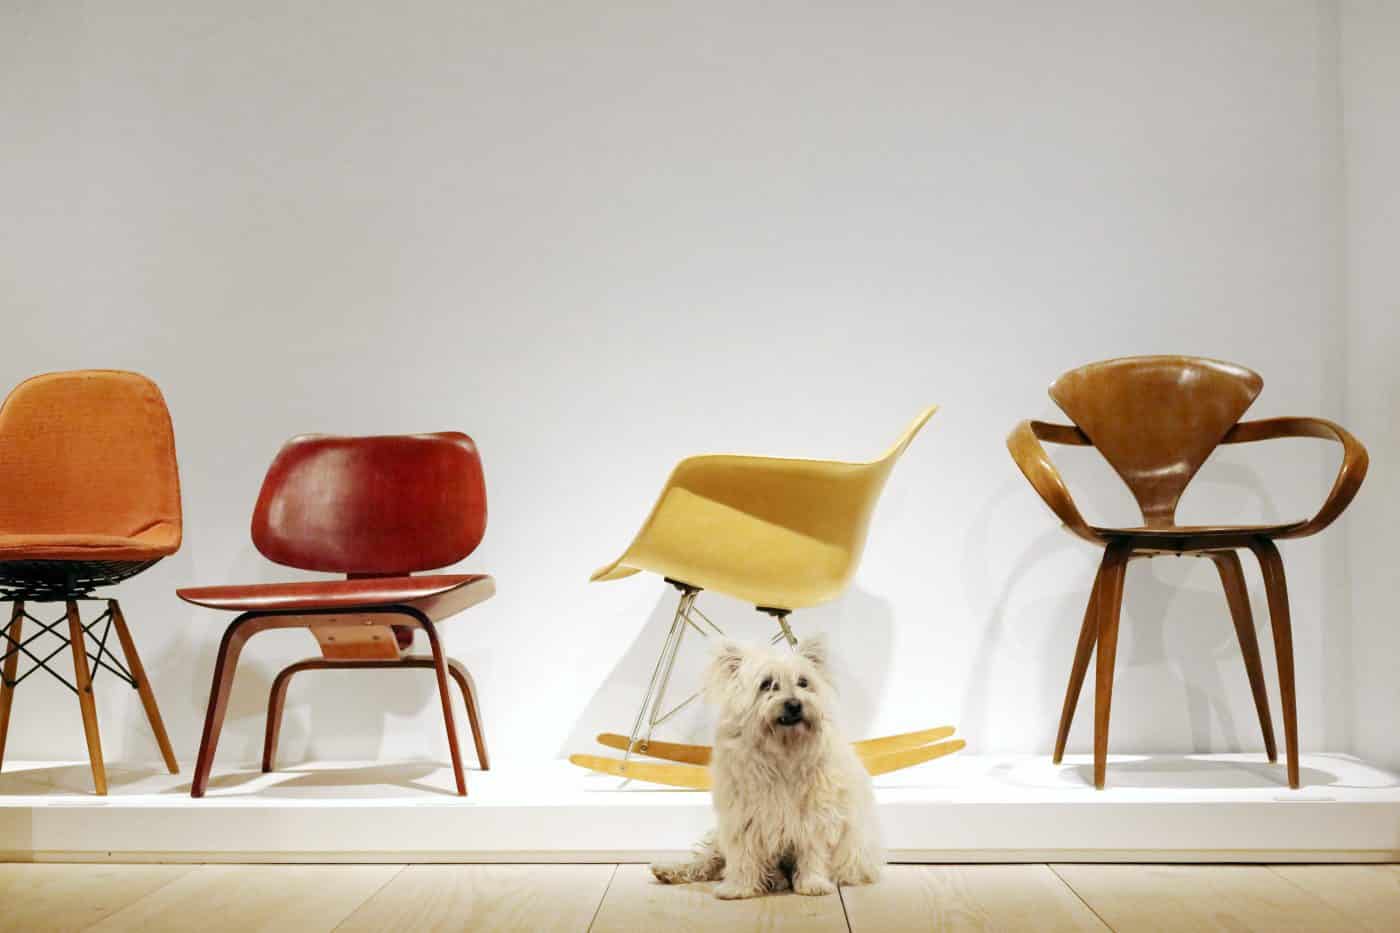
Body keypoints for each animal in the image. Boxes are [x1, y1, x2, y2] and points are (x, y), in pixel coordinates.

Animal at [649, 633, 879, 896]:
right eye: (767, 684)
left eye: (803, 682)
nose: (794, 705)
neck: (784, 750)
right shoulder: (744, 816)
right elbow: (744, 855)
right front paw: (739, 888)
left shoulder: (815, 816)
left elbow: (813, 852)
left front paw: (813, 884)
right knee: (709, 860)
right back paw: (669, 870)